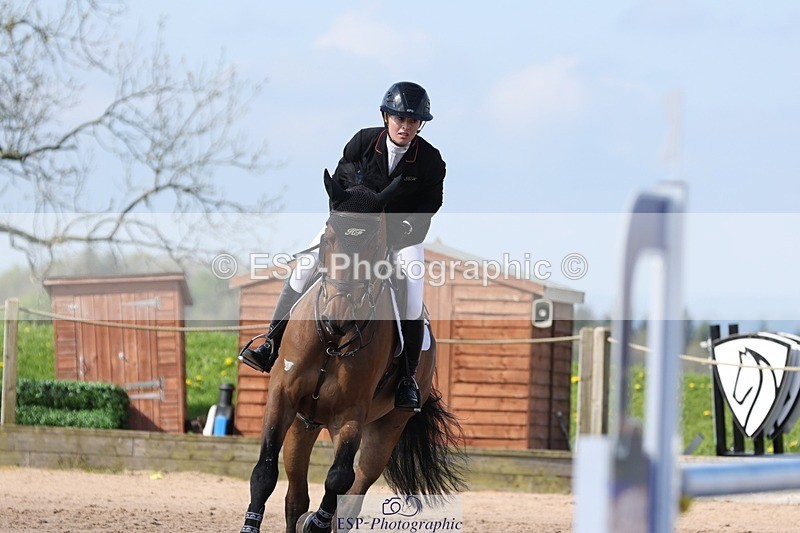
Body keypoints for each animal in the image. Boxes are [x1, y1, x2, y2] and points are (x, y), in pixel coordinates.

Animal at [240, 170, 466, 533]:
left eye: (373, 246)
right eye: (328, 240)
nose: (338, 319)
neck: (330, 342)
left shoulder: (351, 416)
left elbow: (338, 480)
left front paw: (316, 523)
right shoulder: (282, 397)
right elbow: (264, 473)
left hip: (385, 429)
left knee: (352, 494)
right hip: (304, 425)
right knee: (295, 497)